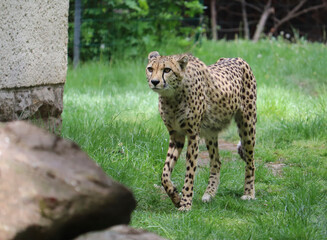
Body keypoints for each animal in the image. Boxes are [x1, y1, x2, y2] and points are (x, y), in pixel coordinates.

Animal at [145, 50, 256, 210]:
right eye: (150, 69)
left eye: (167, 70)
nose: (154, 81)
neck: (172, 97)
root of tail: (237, 58)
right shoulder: (176, 136)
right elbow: (164, 174)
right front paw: (175, 197)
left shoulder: (193, 135)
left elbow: (190, 172)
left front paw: (185, 203)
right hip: (211, 131)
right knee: (216, 162)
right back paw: (209, 194)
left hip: (247, 125)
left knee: (251, 161)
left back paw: (249, 193)